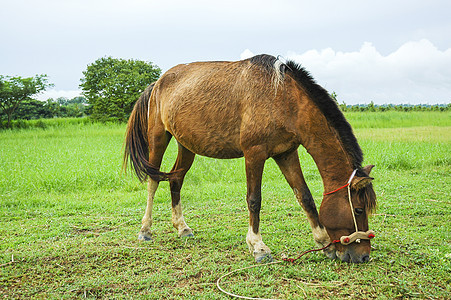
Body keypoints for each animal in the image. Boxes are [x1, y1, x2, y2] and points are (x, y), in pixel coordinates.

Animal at [123, 54, 378, 262]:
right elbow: (254, 200)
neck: (282, 98)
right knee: (153, 180)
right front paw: (258, 246)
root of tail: (157, 83)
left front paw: (323, 241)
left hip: (186, 145)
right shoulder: (254, 154)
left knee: (176, 179)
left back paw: (182, 228)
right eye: (358, 210)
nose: (364, 256)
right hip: (158, 137)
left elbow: (305, 196)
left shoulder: (286, 153)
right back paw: (145, 230)